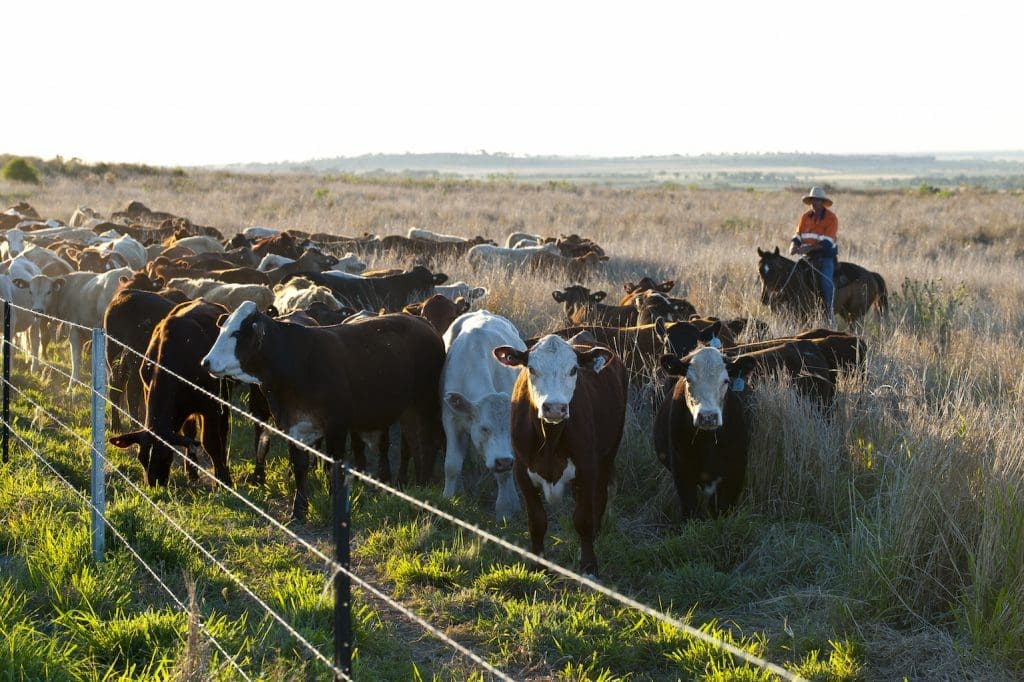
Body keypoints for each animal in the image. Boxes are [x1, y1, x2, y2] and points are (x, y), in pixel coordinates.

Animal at [493, 333, 626, 573]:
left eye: (573, 369)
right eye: (531, 369)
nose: (554, 408)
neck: (550, 438)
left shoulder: (587, 468)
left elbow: (583, 519)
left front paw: (589, 565)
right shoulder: (522, 471)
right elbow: (537, 521)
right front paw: (538, 564)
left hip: (609, 452)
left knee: (600, 498)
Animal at [753, 246, 888, 327]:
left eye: (775, 270)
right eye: (760, 271)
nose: (765, 299)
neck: (795, 283)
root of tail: (871, 274)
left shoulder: (805, 316)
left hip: (855, 313)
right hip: (846, 313)